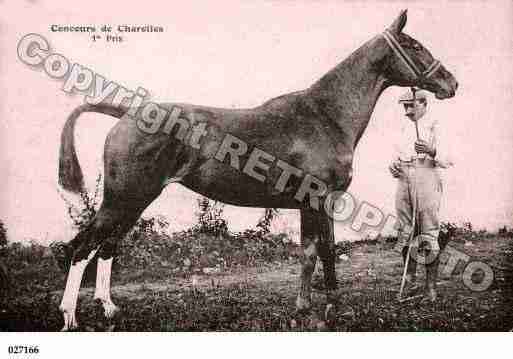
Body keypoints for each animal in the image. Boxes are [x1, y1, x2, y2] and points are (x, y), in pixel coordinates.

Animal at [56, 10, 456, 332]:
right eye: (414, 45)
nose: (451, 83)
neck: (325, 115)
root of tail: (126, 114)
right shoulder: (322, 200)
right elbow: (325, 250)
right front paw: (332, 308)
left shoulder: (307, 205)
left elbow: (308, 252)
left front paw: (303, 307)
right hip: (123, 199)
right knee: (81, 248)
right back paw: (70, 317)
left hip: (132, 202)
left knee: (106, 248)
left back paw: (109, 308)